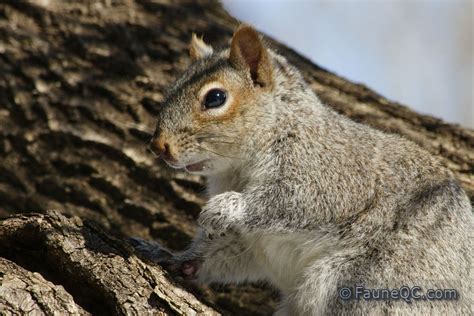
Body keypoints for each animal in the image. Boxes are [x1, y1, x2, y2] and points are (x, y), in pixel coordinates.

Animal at [131, 25, 474, 314]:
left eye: (215, 98)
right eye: (170, 89)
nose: (158, 146)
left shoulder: (330, 173)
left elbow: (296, 201)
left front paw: (227, 207)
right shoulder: (248, 239)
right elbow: (221, 252)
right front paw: (174, 258)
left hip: (373, 282)